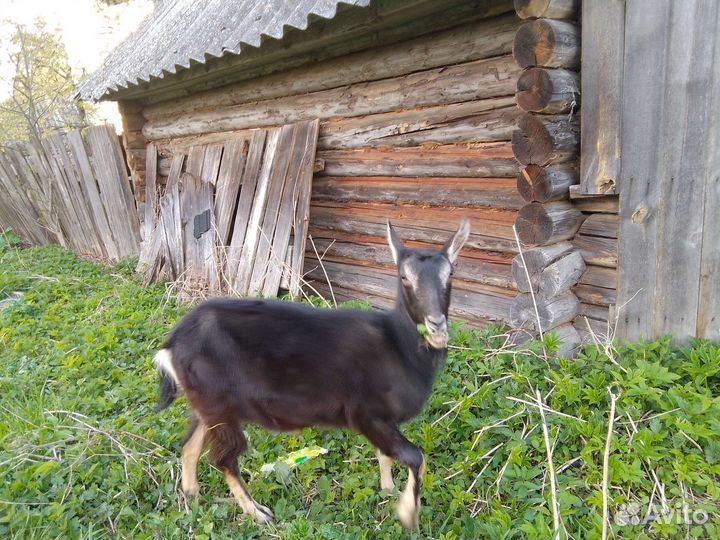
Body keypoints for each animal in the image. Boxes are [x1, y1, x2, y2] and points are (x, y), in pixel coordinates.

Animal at [154, 220, 470, 529]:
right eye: (404, 277)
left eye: (451, 274)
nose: (436, 324)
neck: (396, 345)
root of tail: (172, 344)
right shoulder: (365, 413)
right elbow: (416, 458)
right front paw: (407, 513)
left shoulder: (383, 419)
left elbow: (386, 455)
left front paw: (388, 490)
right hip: (220, 404)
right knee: (224, 459)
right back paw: (258, 513)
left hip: (206, 404)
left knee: (190, 447)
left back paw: (192, 496)